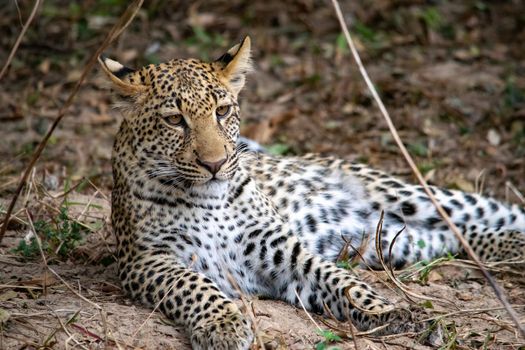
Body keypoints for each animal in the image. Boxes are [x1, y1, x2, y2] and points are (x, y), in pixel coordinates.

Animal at [97, 37, 524, 348]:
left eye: (222, 111)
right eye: (174, 120)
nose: (215, 163)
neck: (208, 201)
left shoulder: (282, 247)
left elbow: (340, 280)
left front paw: (384, 312)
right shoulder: (147, 260)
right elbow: (194, 286)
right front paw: (224, 324)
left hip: (405, 195)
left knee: (474, 217)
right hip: (387, 239)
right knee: (450, 236)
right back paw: (512, 248)